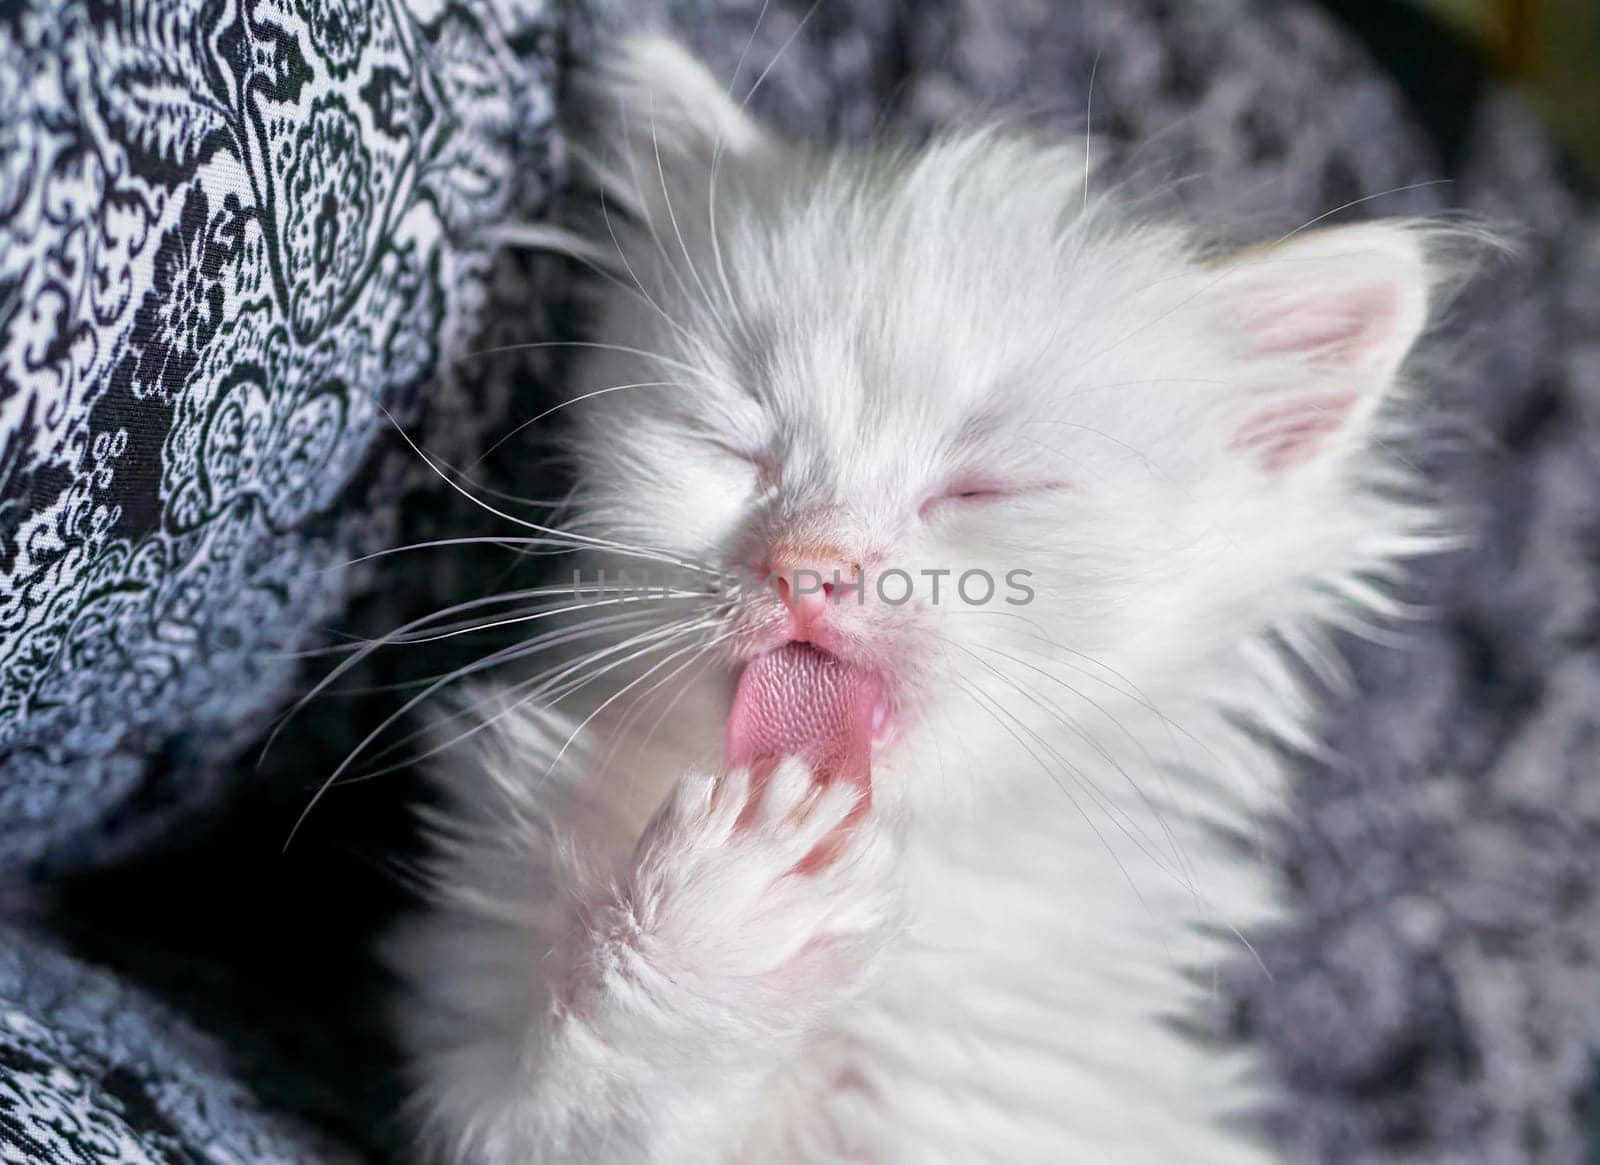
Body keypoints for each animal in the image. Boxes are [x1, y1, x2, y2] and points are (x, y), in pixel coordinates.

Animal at [393, 36, 1459, 1165]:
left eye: (982, 491)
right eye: (734, 445)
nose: (809, 564)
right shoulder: (475, 1076)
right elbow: (590, 1084)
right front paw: (723, 919)